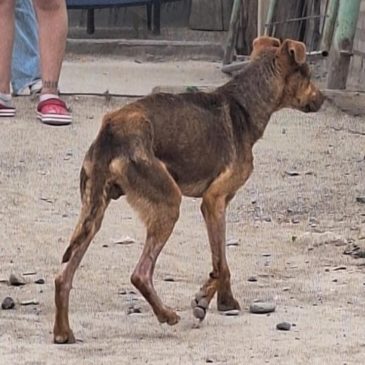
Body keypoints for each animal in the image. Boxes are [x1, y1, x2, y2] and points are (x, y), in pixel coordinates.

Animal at [52, 37, 322, 342]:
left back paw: (63, 332)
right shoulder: (214, 201)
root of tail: (111, 129)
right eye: (308, 75)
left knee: (63, 277)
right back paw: (166, 315)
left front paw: (224, 301)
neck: (245, 103)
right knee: (140, 274)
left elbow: (222, 262)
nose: (323, 98)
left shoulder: (218, 204)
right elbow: (219, 264)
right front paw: (205, 301)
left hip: (93, 212)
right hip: (168, 203)